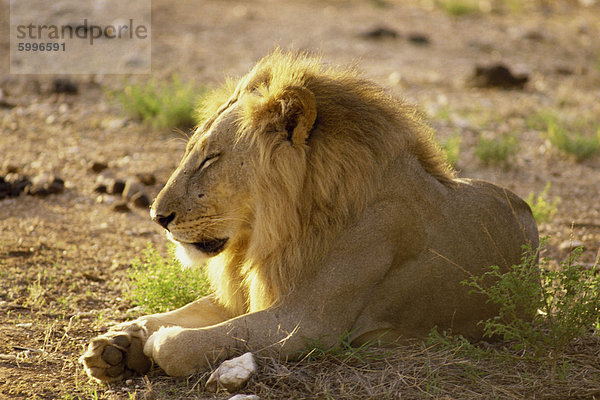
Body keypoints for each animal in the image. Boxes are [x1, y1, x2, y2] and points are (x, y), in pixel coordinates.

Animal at [81, 51, 540, 382]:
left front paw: (151, 345)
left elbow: (188, 343)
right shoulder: (253, 294)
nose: (157, 216)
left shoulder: (308, 323)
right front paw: (117, 343)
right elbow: (183, 310)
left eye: (211, 159)